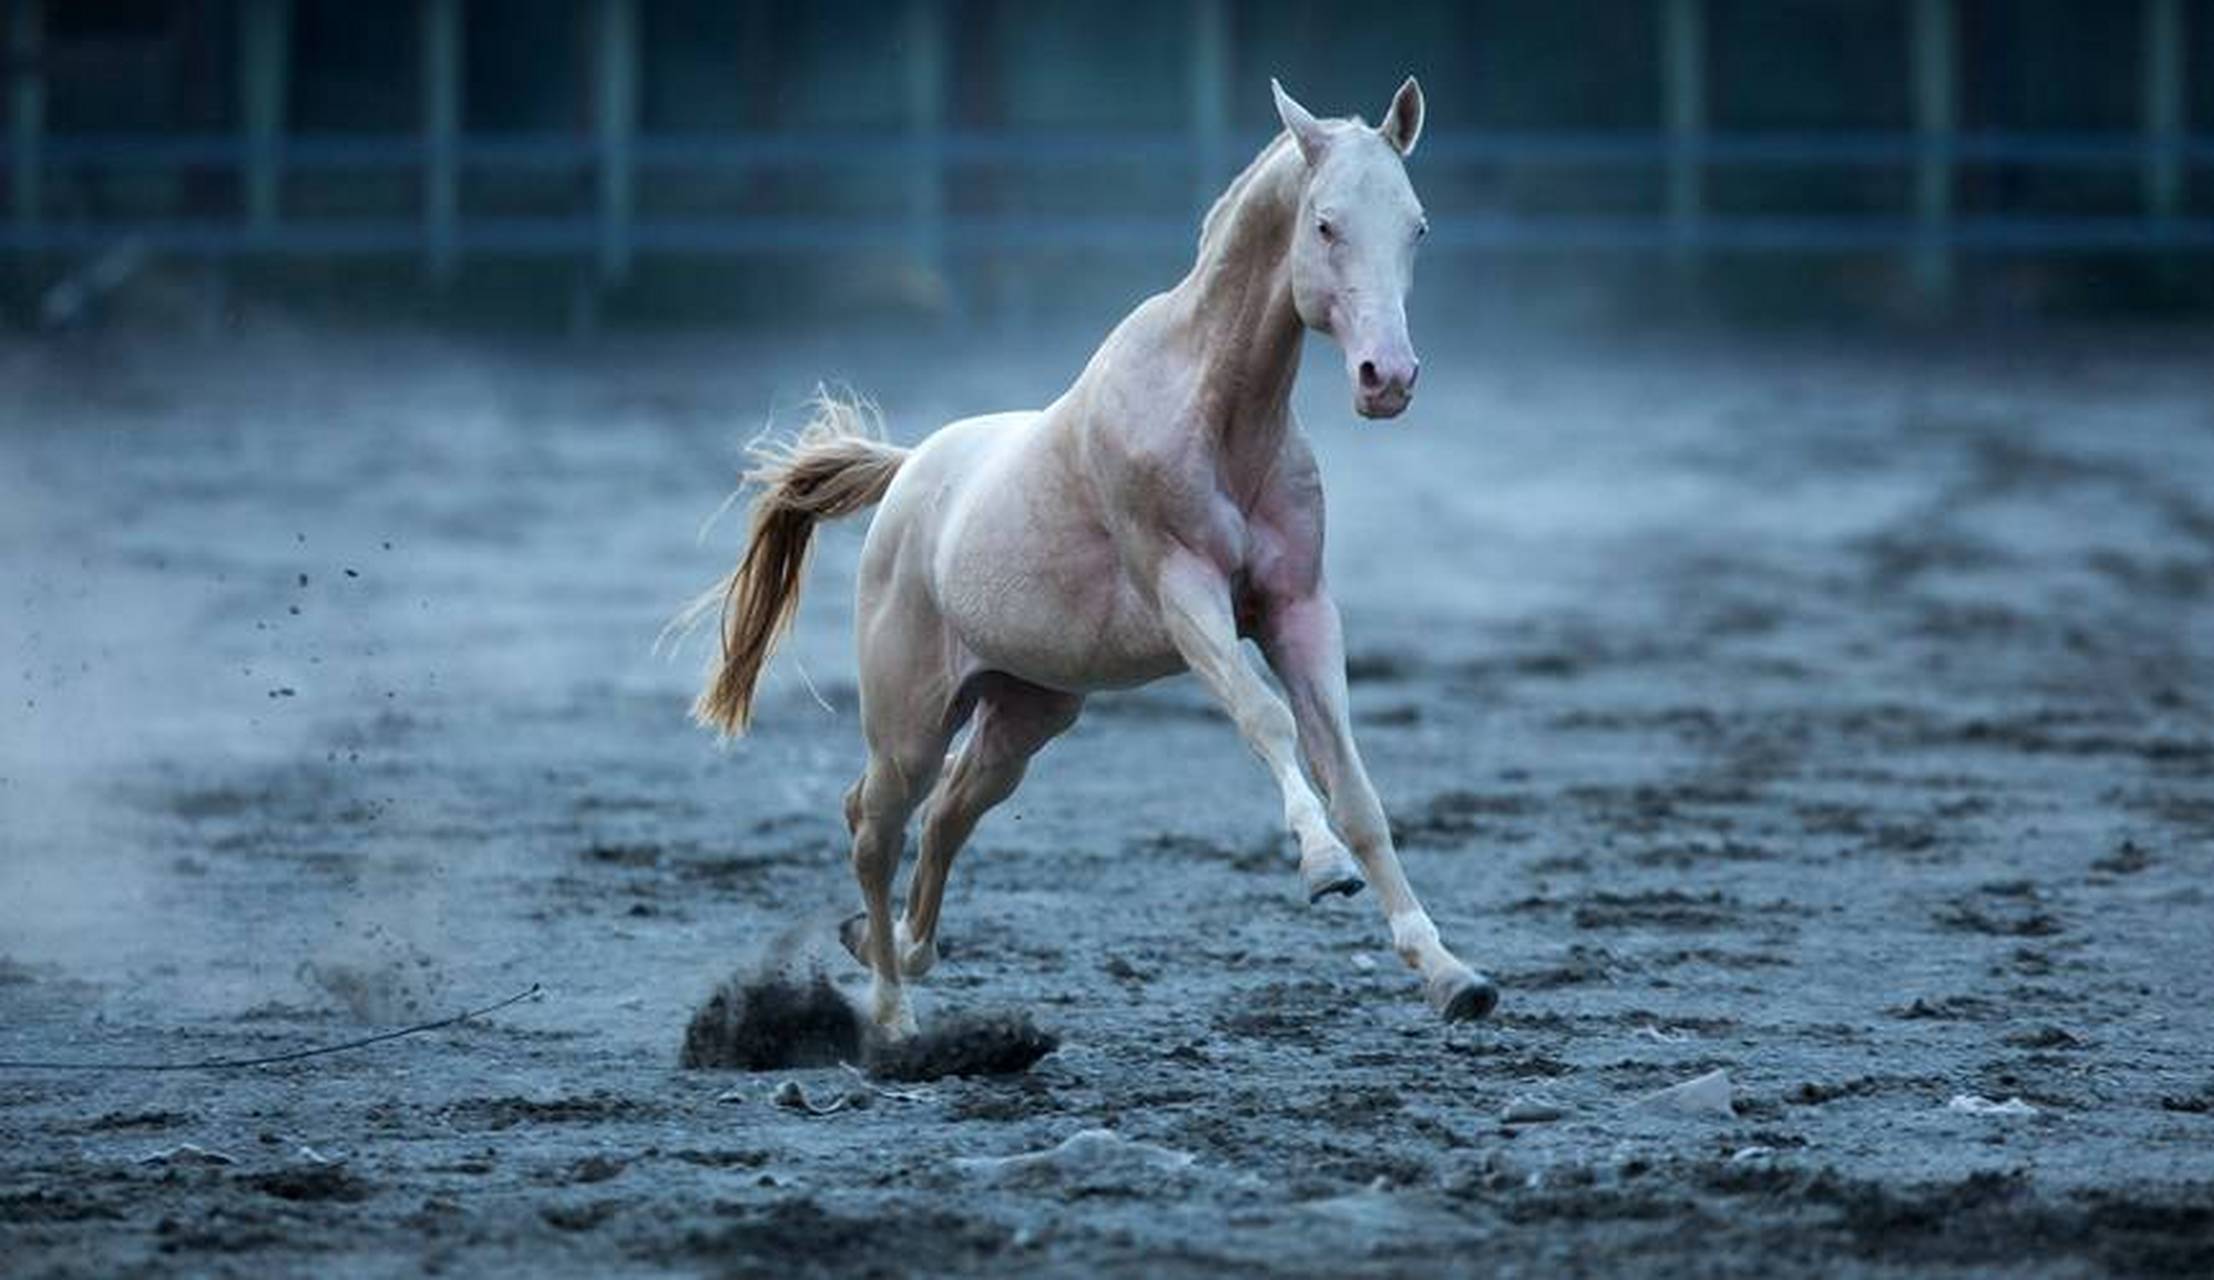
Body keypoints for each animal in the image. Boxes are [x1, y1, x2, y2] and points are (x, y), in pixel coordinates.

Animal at [686, 77, 1505, 1036]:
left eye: (1416, 225)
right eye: (1326, 224)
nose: (1389, 378)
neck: (1214, 412)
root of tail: (909, 470)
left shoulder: (1298, 610)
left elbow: (1356, 785)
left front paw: (1451, 974)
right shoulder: (1187, 595)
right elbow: (1266, 720)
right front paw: (1320, 865)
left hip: (1023, 714)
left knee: (948, 814)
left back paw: (900, 955)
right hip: (909, 722)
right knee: (874, 824)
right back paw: (892, 1016)